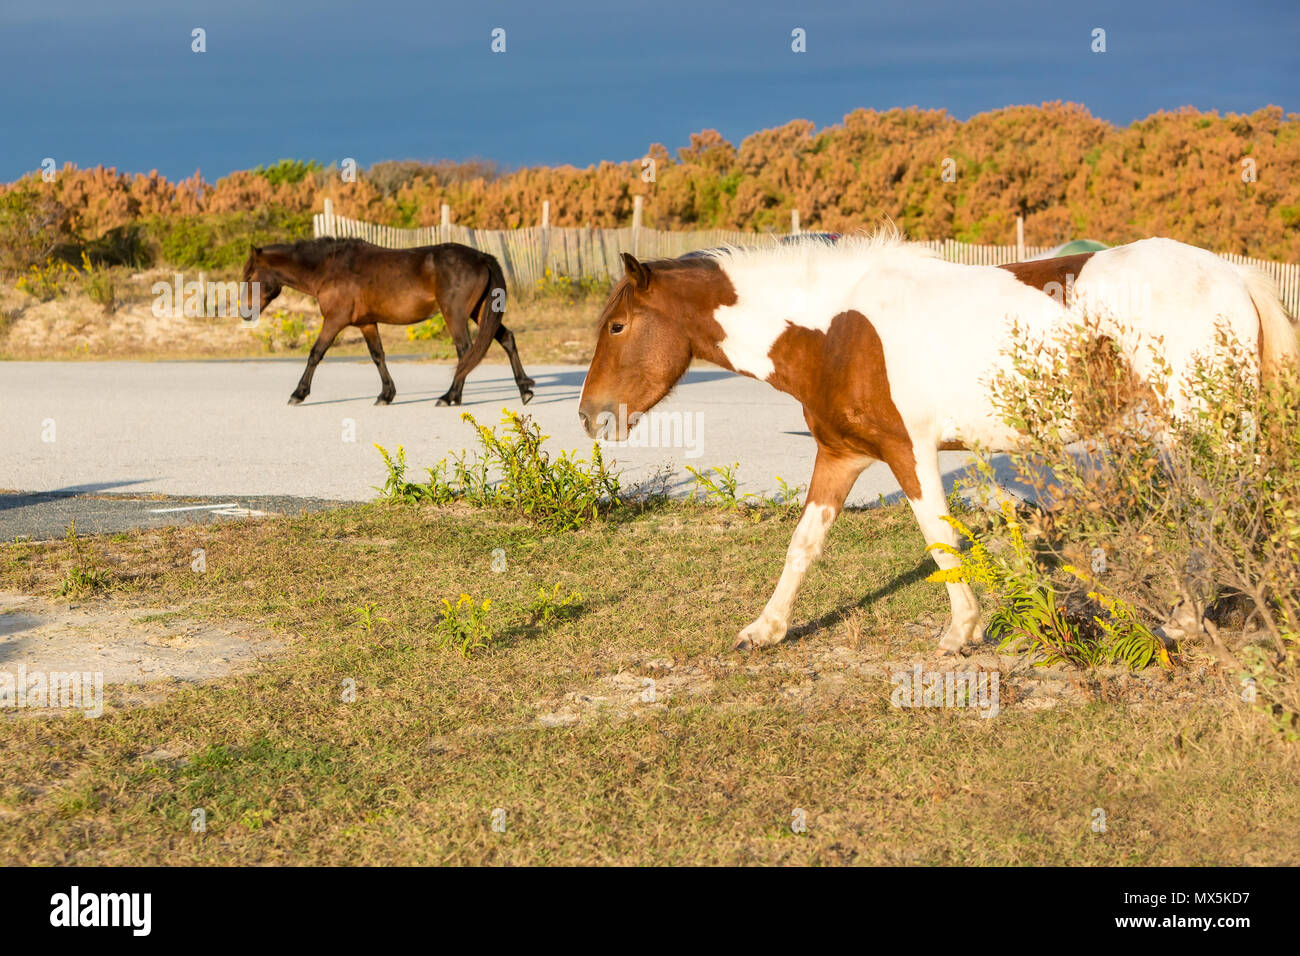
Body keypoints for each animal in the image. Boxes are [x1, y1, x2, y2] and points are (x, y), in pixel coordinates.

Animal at [239, 239, 533, 408]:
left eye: (251, 276)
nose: (245, 313)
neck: (328, 268)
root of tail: (482, 256)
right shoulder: (367, 324)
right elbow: (377, 356)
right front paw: (386, 395)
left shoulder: (334, 320)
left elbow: (315, 354)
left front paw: (299, 393)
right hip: (480, 312)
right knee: (506, 340)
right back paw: (524, 390)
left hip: (457, 315)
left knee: (465, 351)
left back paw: (450, 396)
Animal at [582, 232, 1300, 655]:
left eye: (617, 326)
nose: (592, 417)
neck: (833, 331)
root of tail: (1232, 275)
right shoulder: (840, 456)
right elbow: (804, 545)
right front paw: (766, 629)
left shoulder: (910, 452)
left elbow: (939, 538)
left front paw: (962, 630)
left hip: (1207, 426)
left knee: (1233, 511)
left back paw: (1201, 616)